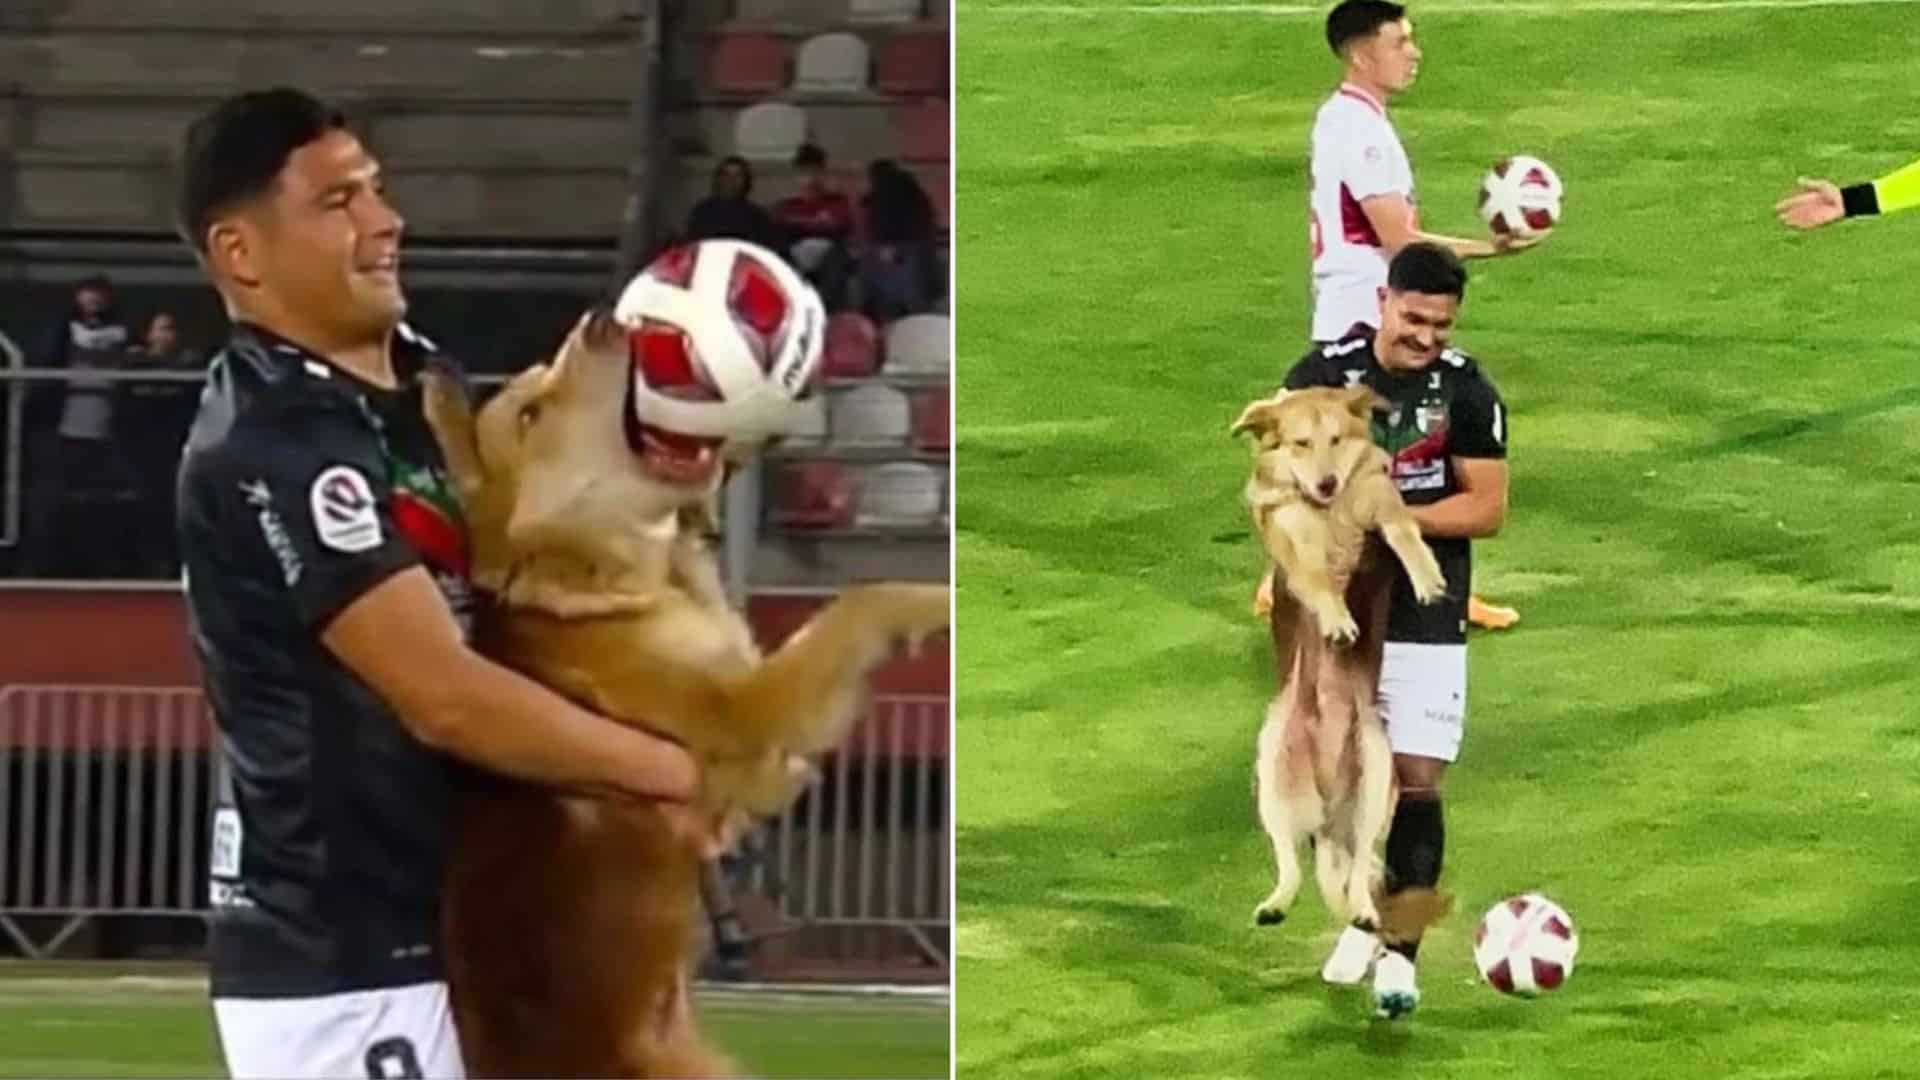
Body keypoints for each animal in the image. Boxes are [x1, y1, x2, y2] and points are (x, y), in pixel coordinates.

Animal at [428, 307, 952, 1068]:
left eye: (539, 377)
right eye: (530, 413)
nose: (599, 318)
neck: (603, 587)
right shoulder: (746, 715)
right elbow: (859, 604)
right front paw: (941, 603)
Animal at [1236, 386, 1443, 933]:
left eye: (1335, 440)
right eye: (1300, 443)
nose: (1327, 481)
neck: (1327, 508)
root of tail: (1328, 804)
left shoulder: (1378, 498)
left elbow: (1402, 528)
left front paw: (1426, 575)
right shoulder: (1287, 534)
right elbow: (1312, 574)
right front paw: (1334, 618)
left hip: (1375, 776)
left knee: (1357, 869)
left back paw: (1365, 911)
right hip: (1271, 774)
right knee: (1290, 860)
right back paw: (1275, 903)